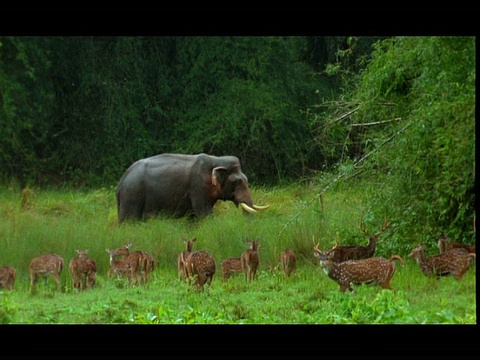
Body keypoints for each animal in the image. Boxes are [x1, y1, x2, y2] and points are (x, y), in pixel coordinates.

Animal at [114, 153, 268, 222]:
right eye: (237, 182)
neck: (216, 159)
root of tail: (120, 183)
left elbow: (193, 218)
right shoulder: (198, 187)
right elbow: (205, 214)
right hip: (132, 195)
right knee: (129, 221)